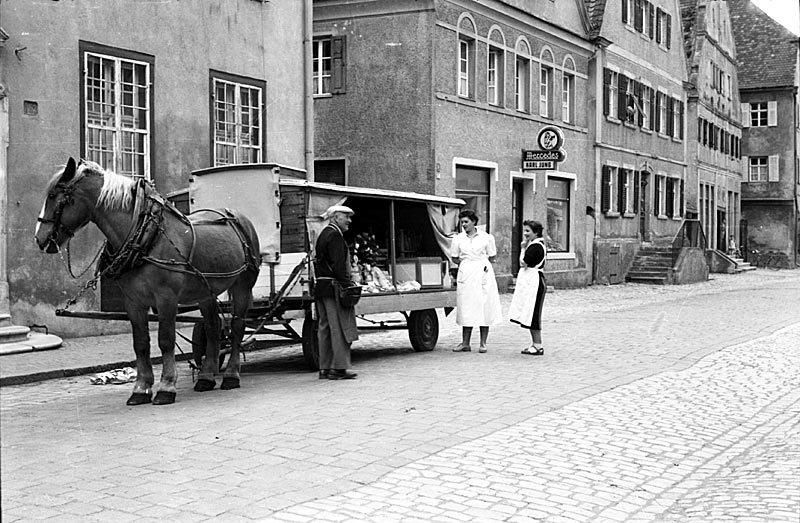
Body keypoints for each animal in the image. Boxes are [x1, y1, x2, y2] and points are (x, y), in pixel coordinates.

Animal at [35, 158, 260, 408]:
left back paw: (231, 375)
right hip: (207, 292)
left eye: (54, 195)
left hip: (242, 286)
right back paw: (206, 378)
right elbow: (141, 343)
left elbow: (166, 340)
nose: (40, 238)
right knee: (213, 329)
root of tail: (240, 219)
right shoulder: (133, 301)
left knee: (237, 327)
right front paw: (141, 389)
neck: (146, 236)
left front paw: (166, 387)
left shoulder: (166, 298)